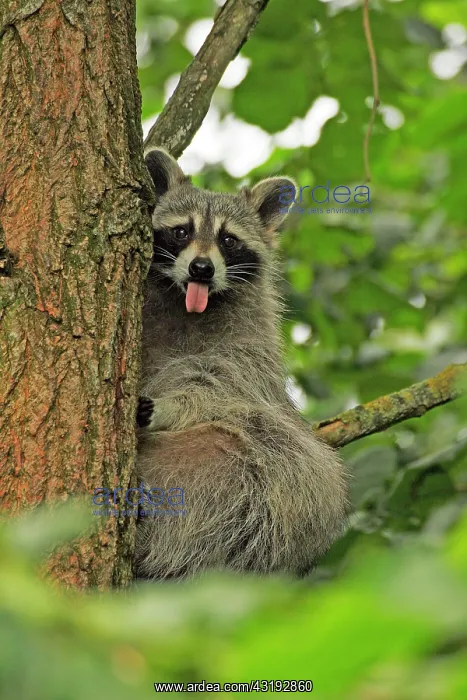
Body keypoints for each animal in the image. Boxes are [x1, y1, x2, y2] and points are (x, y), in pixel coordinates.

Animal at [135, 147, 348, 580]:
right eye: (182, 231)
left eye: (228, 239)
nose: (202, 268)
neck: (189, 305)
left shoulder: (249, 348)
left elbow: (220, 389)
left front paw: (170, 405)